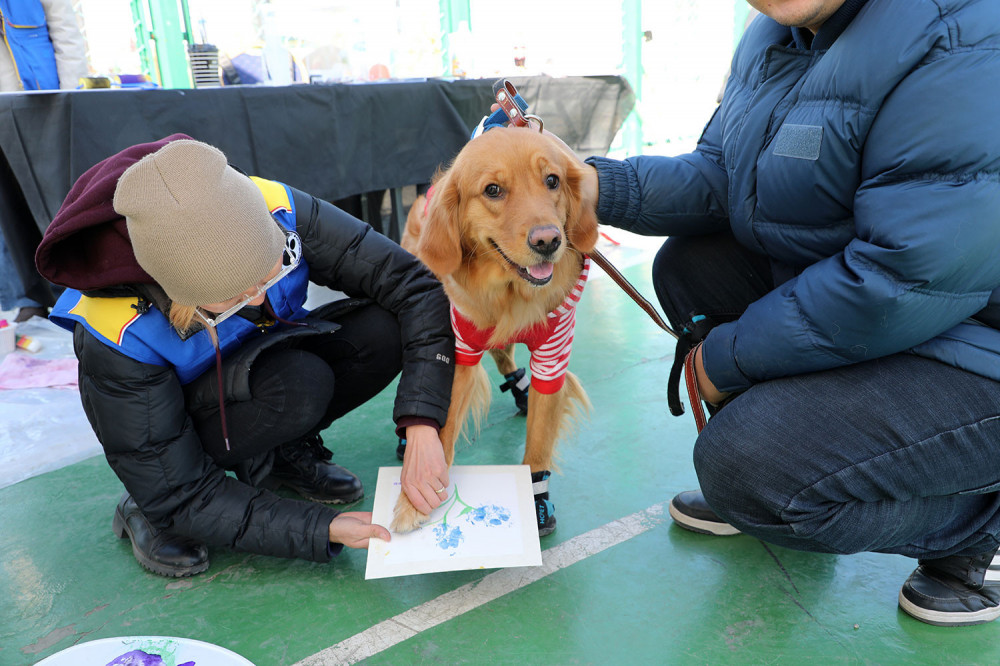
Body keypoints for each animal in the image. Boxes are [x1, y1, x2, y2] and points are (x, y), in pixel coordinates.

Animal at [392, 126, 596, 536]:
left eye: (552, 181)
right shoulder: (461, 347)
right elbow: (443, 424)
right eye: (493, 190)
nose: (548, 241)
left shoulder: (552, 356)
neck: (510, 293)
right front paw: (415, 497)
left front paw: (536, 498)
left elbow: (538, 442)